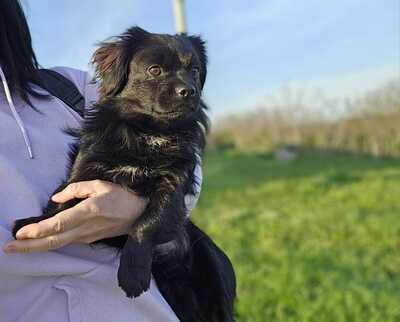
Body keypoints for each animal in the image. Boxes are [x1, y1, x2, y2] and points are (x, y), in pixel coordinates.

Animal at [14, 26, 236, 320]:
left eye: (196, 71)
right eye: (155, 70)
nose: (188, 91)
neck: (149, 131)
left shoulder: (173, 183)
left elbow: (148, 221)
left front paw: (132, 273)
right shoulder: (85, 173)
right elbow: (61, 203)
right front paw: (34, 223)